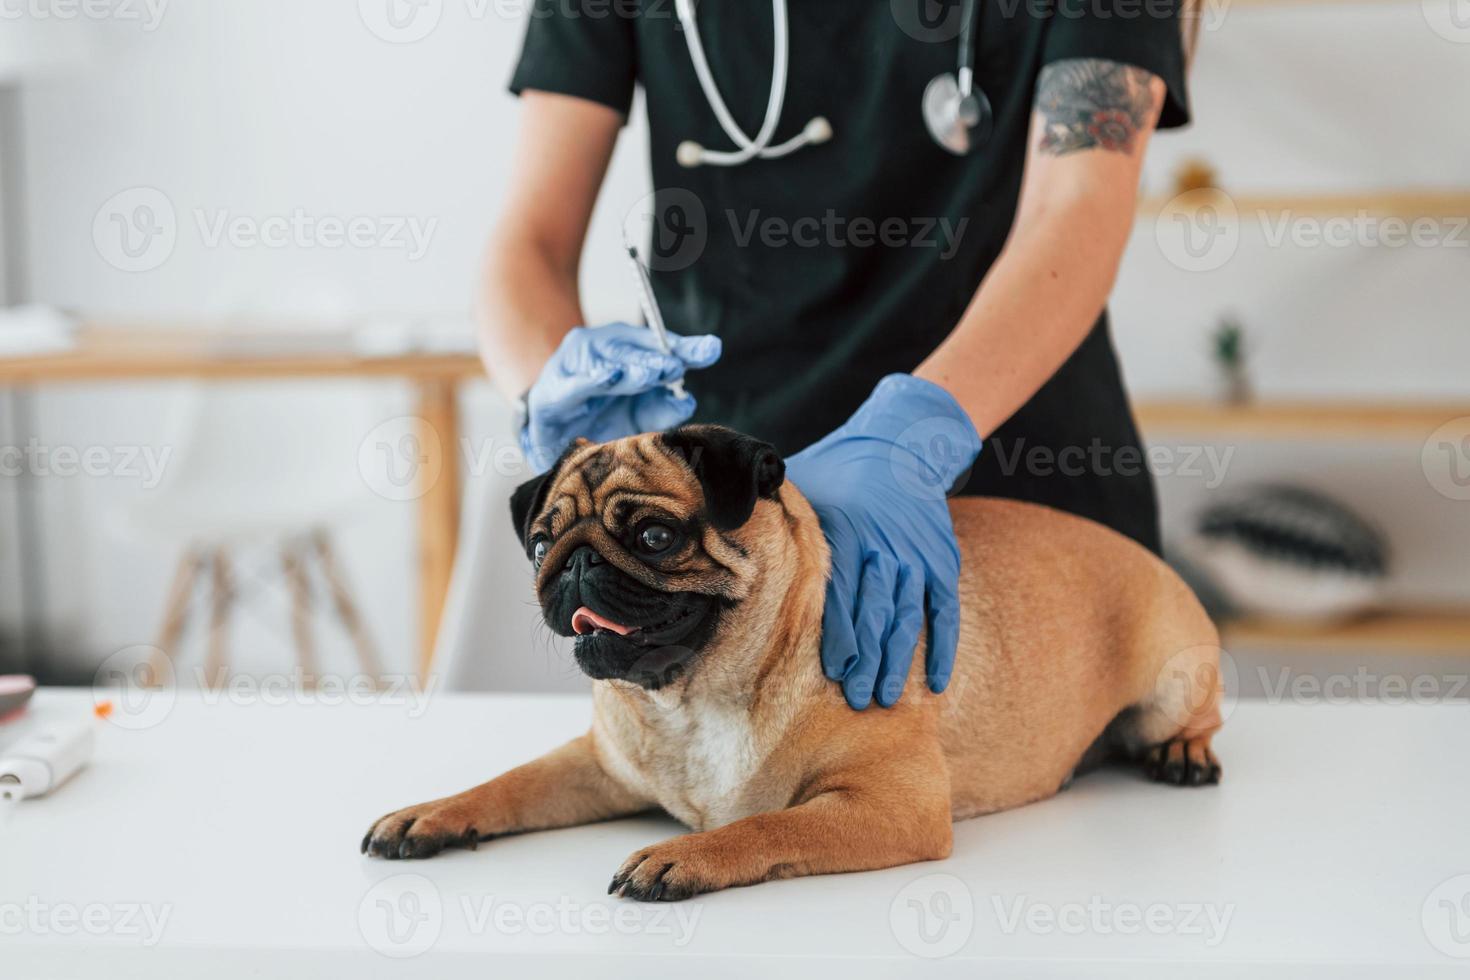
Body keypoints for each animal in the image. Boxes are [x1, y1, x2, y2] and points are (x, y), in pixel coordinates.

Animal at [361, 429, 1223, 905]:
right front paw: (432, 813)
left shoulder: (893, 803)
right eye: (541, 542)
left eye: (654, 538)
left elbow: (765, 823)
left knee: (1192, 720)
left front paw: (685, 856)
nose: (571, 566)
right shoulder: (595, 768)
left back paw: (1182, 753)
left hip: (1177, 677)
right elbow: (507, 784)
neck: (694, 699)